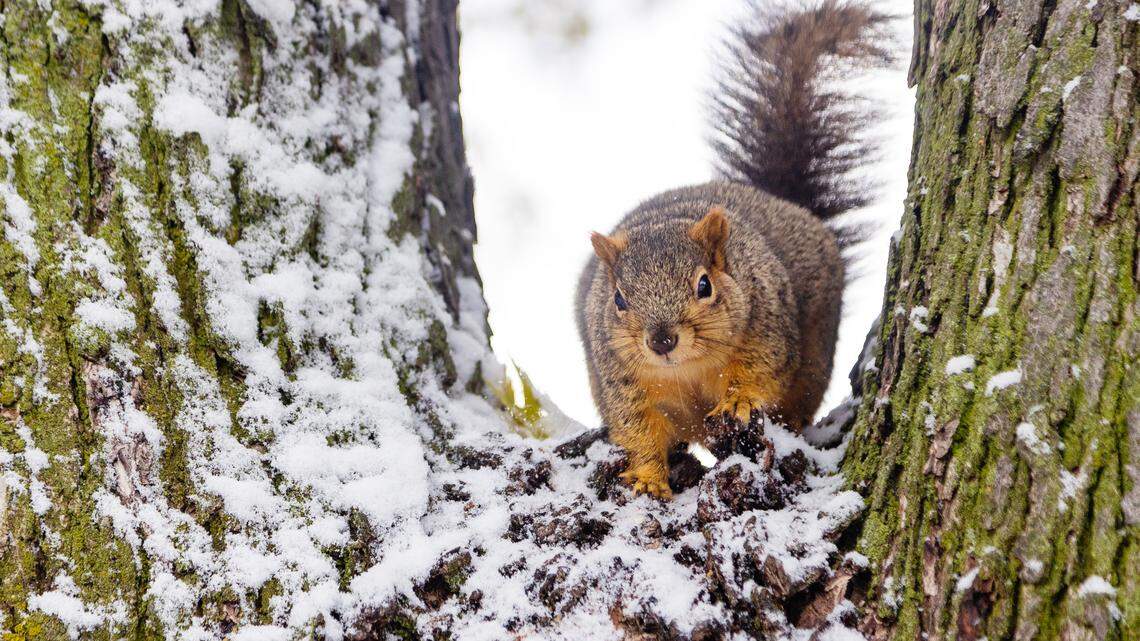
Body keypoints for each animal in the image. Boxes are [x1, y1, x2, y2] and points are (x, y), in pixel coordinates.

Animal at [575, 1, 893, 499]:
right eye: (619, 300)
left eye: (704, 285)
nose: (661, 340)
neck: (686, 369)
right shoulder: (621, 379)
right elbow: (637, 430)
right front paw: (646, 477)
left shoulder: (766, 325)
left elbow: (762, 373)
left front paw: (740, 400)